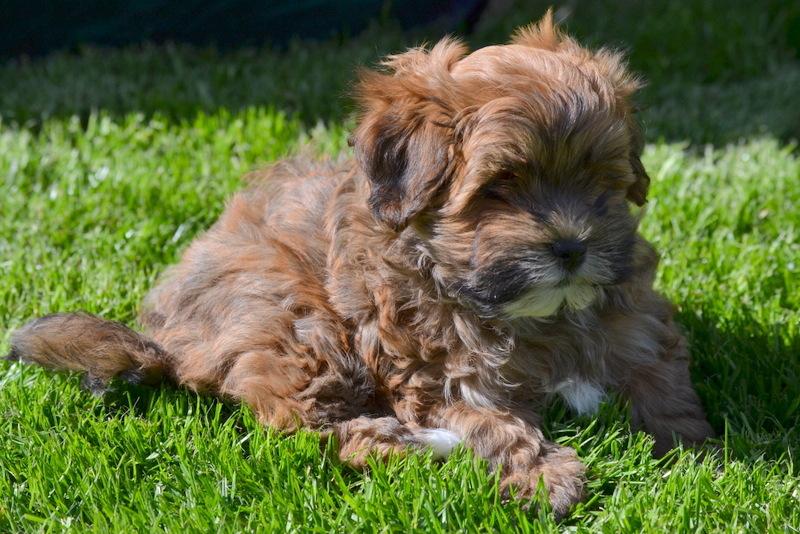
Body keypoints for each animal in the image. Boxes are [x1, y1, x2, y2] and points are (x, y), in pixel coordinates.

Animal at [4, 14, 712, 520]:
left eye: (599, 181)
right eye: (500, 188)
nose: (571, 249)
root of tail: (166, 340)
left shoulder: (637, 325)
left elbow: (660, 379)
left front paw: (697, 449)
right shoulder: (437, 372)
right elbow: (490, 421)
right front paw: (545, 473)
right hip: (294, 319)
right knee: (309, 430)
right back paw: (416, 446)